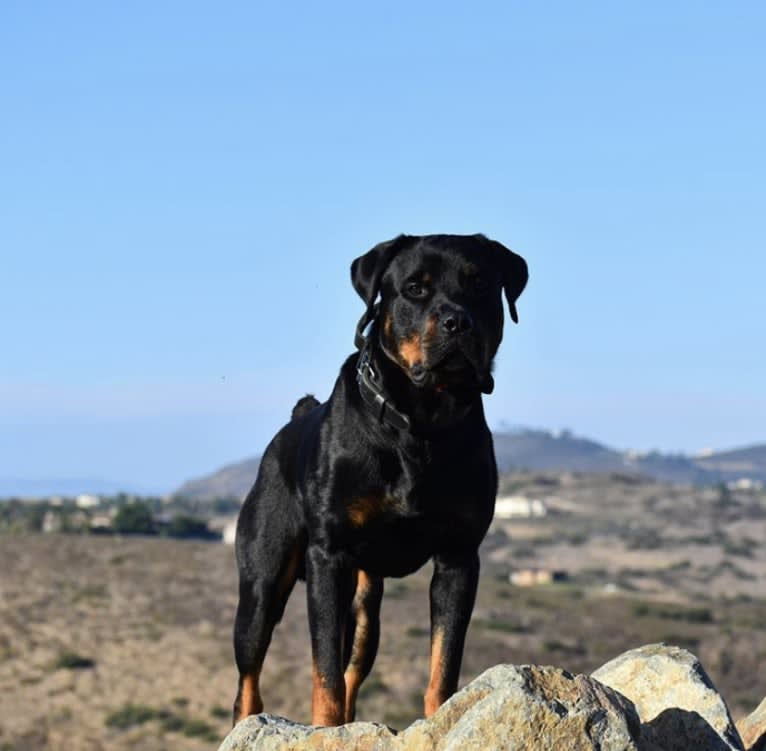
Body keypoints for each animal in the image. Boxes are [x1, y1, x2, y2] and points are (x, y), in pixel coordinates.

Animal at [231, 234, 528, 728]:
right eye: (415, 288)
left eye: (480, 284)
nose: (458, 321)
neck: (421, 422)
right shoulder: (329, 555)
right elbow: (324, 671)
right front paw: (325, 729)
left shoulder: (459, 557)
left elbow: (443, 661)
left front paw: (440, 718)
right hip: (263, 582)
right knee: (249, 679)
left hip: (366, 603)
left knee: (355, 665)